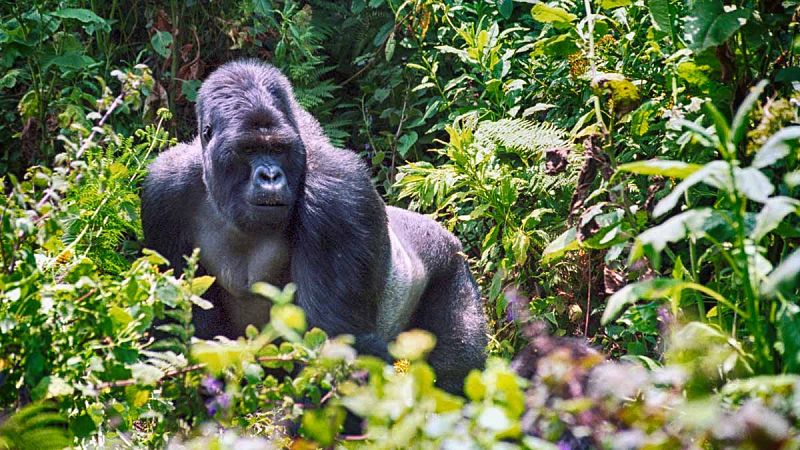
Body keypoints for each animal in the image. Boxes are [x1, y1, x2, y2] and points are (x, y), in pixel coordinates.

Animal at [143, 60, 488, 394]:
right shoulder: (163, 191)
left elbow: (335, 345)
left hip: (453, 268)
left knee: (455, 376)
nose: (270, 176)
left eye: (278, 149)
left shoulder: (336, 194)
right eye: (248, 149)